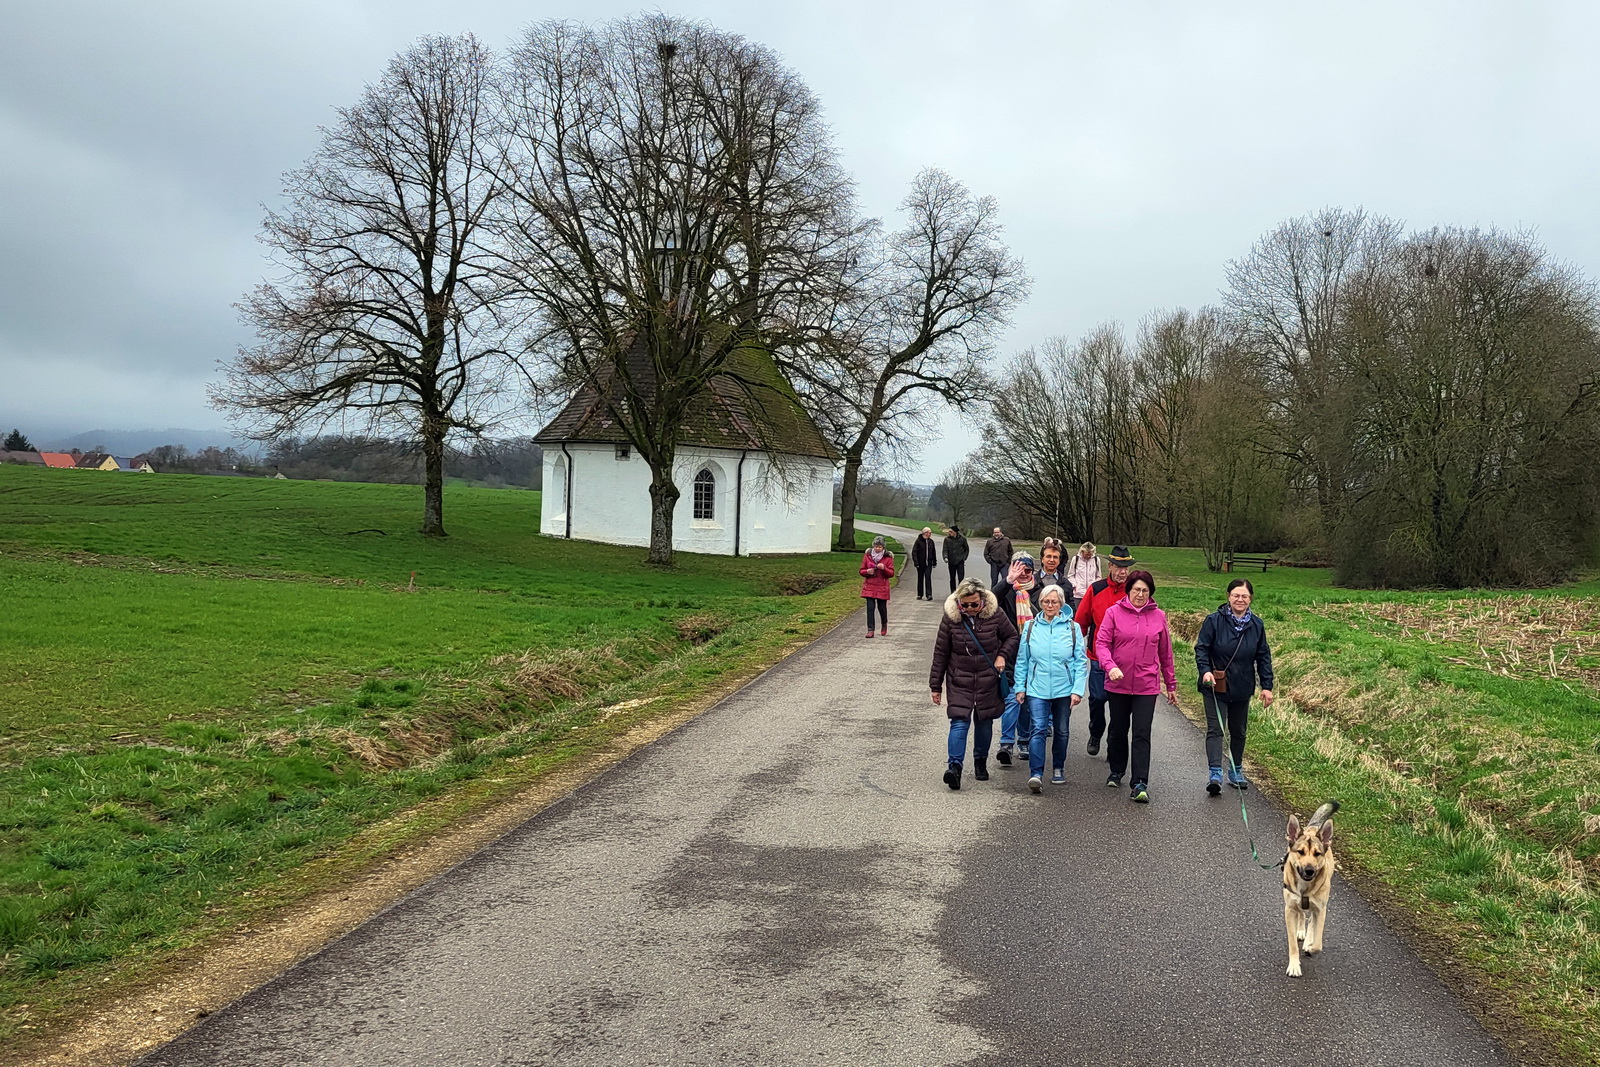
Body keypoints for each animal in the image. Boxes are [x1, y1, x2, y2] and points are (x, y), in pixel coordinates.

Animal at [1286, 799, 1337, 979]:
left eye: (1317, 854)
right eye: (1300, 852)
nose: (1309, 870)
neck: (1305, 888)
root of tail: (1314, 829)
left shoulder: (1321, 909)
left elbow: (1317, 944)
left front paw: (1309, 945)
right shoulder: (1289, 909)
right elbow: (1292, 944)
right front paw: (1294, 966)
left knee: (1311, 920)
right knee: (1302, 914)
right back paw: (1301, 930)